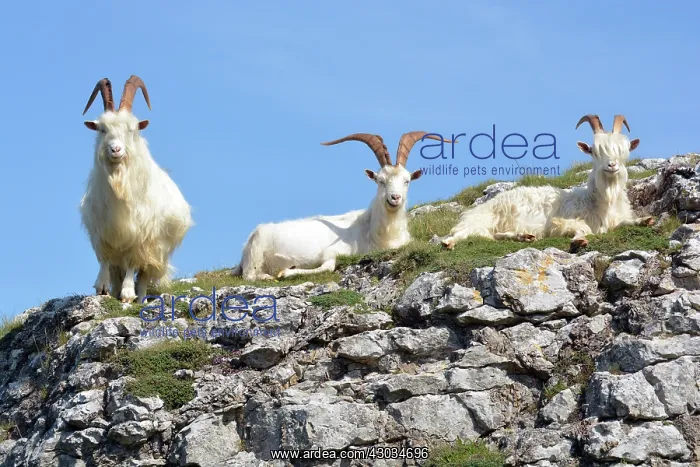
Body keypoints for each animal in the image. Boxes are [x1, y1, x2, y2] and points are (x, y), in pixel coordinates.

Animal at [80, 75, 193, 303]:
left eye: (131, 129)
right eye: (102, 129)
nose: (115, 149)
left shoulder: (140, 235)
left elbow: (133, 262)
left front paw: (127, 294)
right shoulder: (101, 231)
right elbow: (104, 259)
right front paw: (102, 287)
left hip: (156, 250)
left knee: (143, 275)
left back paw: (139, 297)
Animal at [231, 132, 446, 280]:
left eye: (407, 181)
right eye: (380, 181)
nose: (395, 198)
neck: (377, 232)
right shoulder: (331, 252)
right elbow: (328, 266)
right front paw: (286, 272)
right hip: (256, 250)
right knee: (250, 275)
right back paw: (268, 276)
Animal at [439, 114, 655, 251]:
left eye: (623, 150)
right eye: (594, 151)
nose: (611, 165)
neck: (598, 202)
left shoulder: (614, 220)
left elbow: (625, 222)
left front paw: (645, 220)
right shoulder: (559, 222)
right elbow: (581, 228)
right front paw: (579, 240)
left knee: (495, 235)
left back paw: (523, 236)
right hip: (484, 219)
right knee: (464, 232)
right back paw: (448, 242)